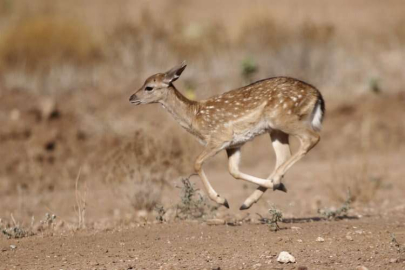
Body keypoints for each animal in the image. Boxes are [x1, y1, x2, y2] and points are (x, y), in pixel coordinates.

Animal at [129, 62, 326, 210]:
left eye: (149, 87)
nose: (132, 98)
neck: (195, 117)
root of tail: (317, 96)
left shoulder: (218, 139)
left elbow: (197, 162)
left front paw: (221, 200)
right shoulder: (234, 144)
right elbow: (234, 171)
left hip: (283, 119)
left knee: (311, 138)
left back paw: (275, 181)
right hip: (275, 129)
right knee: (283, 155)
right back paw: (253, 199)